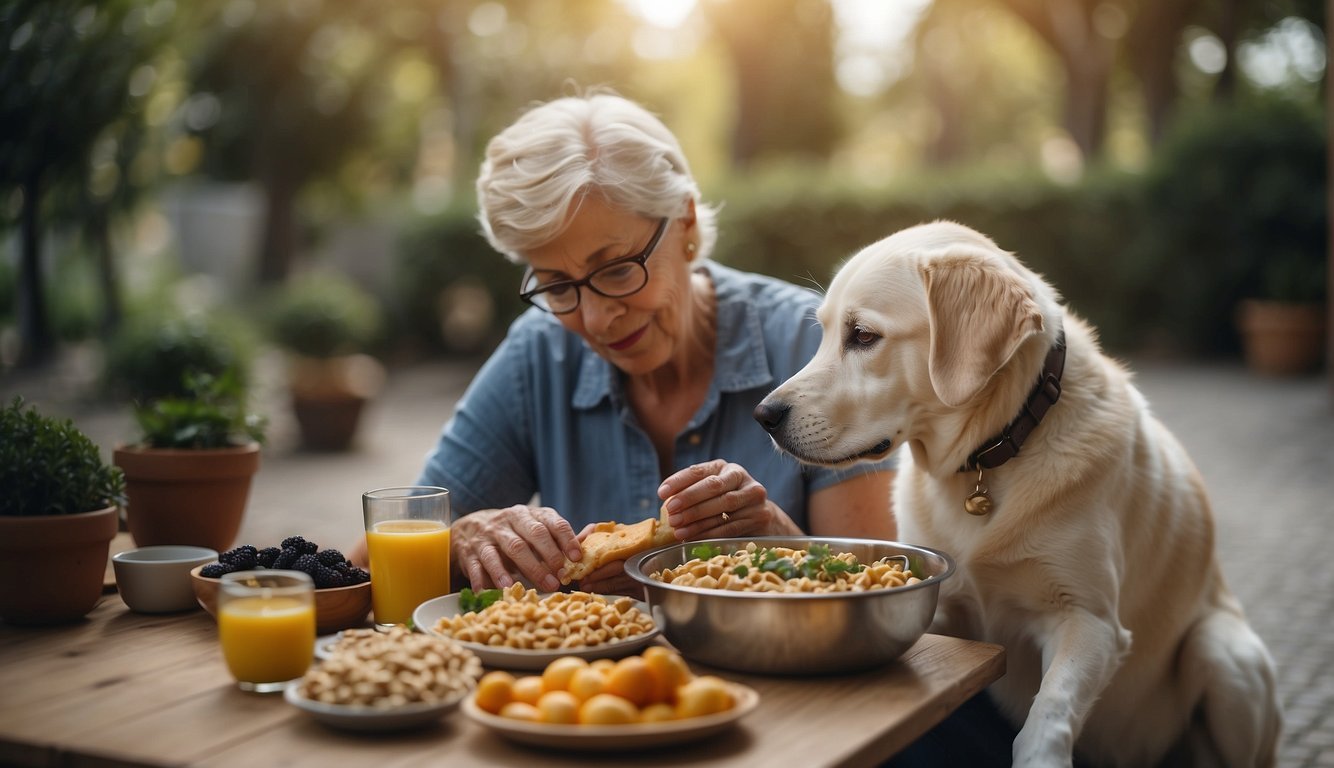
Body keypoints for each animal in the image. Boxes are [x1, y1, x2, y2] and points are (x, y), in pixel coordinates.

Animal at [757, 221, 1275, 768]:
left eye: (862, 335)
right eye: (824, 333)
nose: (764, 415)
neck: (989, 457)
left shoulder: (1089, 621)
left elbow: (1048, 714)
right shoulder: (949, 606)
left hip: (1222, 654)